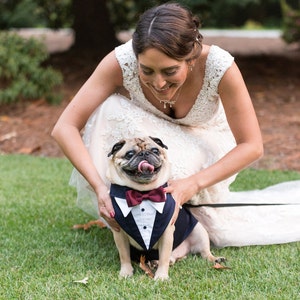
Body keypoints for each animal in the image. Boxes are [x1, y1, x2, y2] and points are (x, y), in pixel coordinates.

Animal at [106, 137, 224, 280]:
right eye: (129, 154)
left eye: (155, 150)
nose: (144, 154)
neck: (143, 193)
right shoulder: (119, 233)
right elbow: (124, 256)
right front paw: (126, 272)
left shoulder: (167, 233)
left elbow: (164, 257)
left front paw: (161, 276)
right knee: (171, 258)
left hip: (199, 232)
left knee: (203, 253)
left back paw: (215, 259)